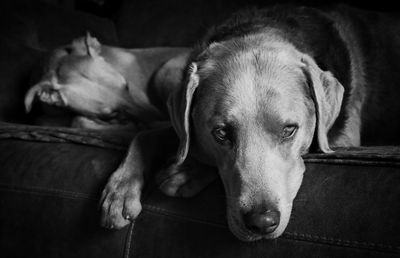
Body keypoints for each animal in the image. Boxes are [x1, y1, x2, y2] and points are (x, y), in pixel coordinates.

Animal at [25, 4, 400, 242]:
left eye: (290, 130)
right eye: (220, 133)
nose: (261, 223)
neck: (261, 30)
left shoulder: (344, 140)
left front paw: (186, 173)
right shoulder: (179, 122)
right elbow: (150, 136)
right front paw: (119, 191)